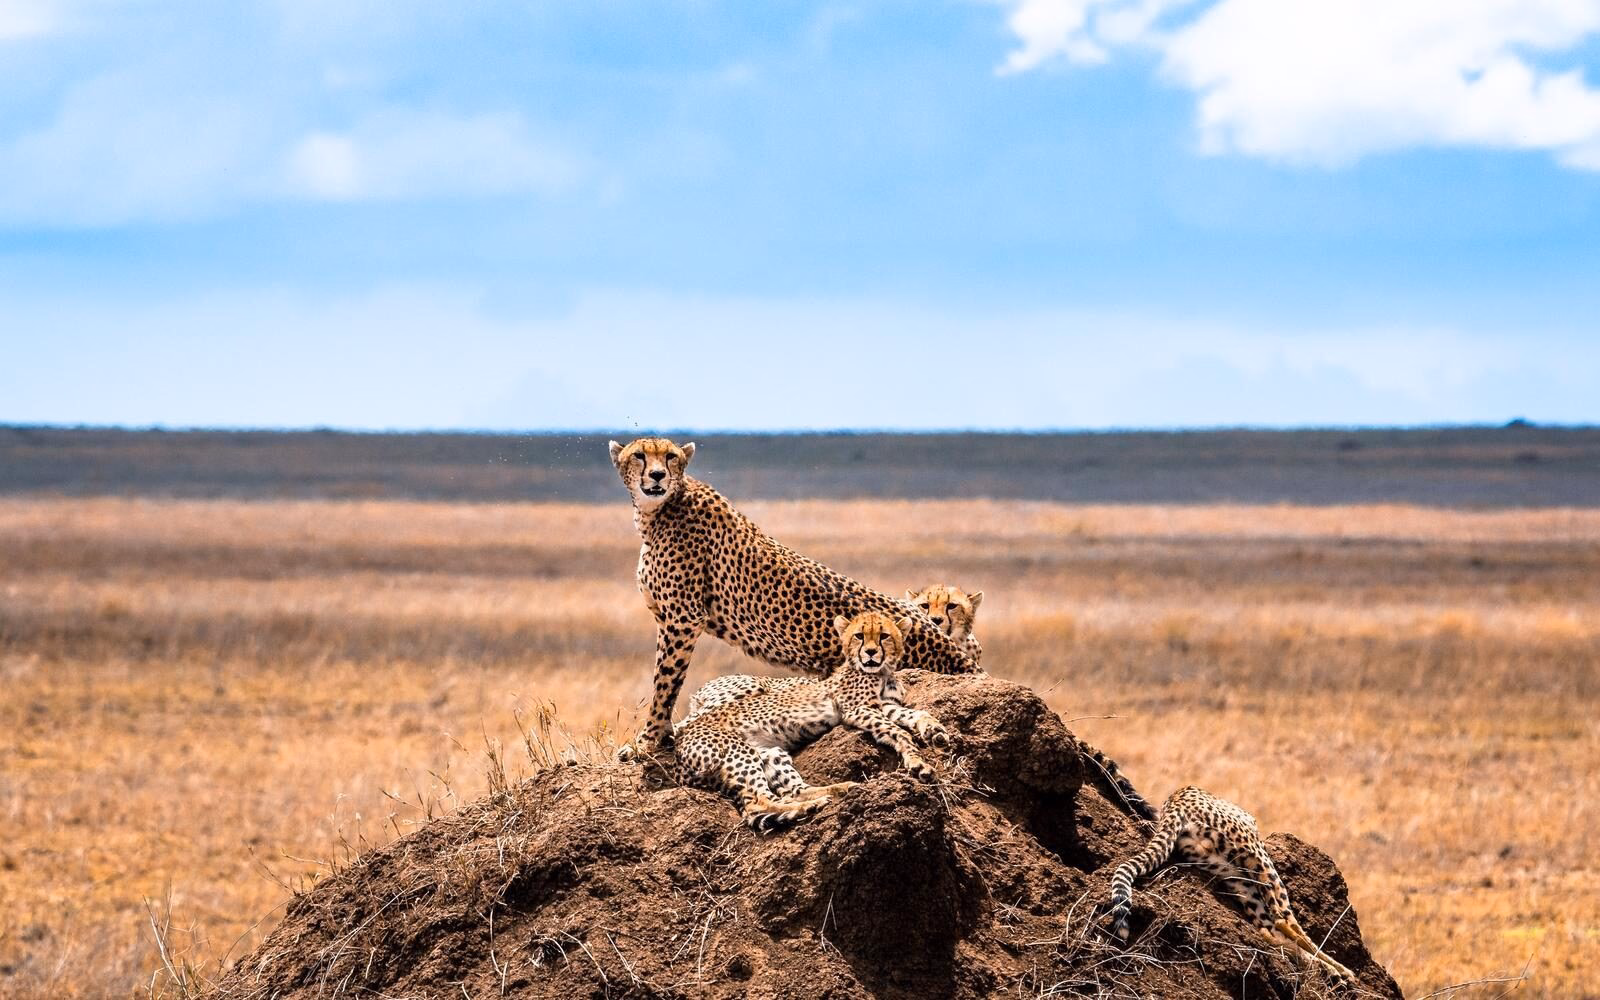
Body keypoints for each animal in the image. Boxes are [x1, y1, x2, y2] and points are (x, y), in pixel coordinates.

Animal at [609, 437, 978, 756]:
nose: (658, 475)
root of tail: (966, 661)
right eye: (639, 455)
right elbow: (667, 682)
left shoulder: (683, 619)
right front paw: (660, 736)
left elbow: (665, 682)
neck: (657, 511)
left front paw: (648, 742)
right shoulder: (671, 617)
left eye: (670, 456)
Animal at [668, 611, 949, 831]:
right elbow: (896, 730)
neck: (881, 672)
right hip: (738, 751)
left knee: (789, 792)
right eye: (859, 636)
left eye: (884, 636)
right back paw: (813, 805)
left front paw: (933, 733)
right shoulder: (856, 709)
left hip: (770, 752)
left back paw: (837, 790)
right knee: (756, 803)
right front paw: (917, 762)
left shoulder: (885, 705)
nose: (870, 653)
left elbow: (915, 715)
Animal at [1107, 785, 1356, 990]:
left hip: (1232, 875)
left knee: (1267, 929)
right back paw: (1339, 970)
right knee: (1283, 920)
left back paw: (1323, 969)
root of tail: (1174, 802)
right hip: (1257, 857)